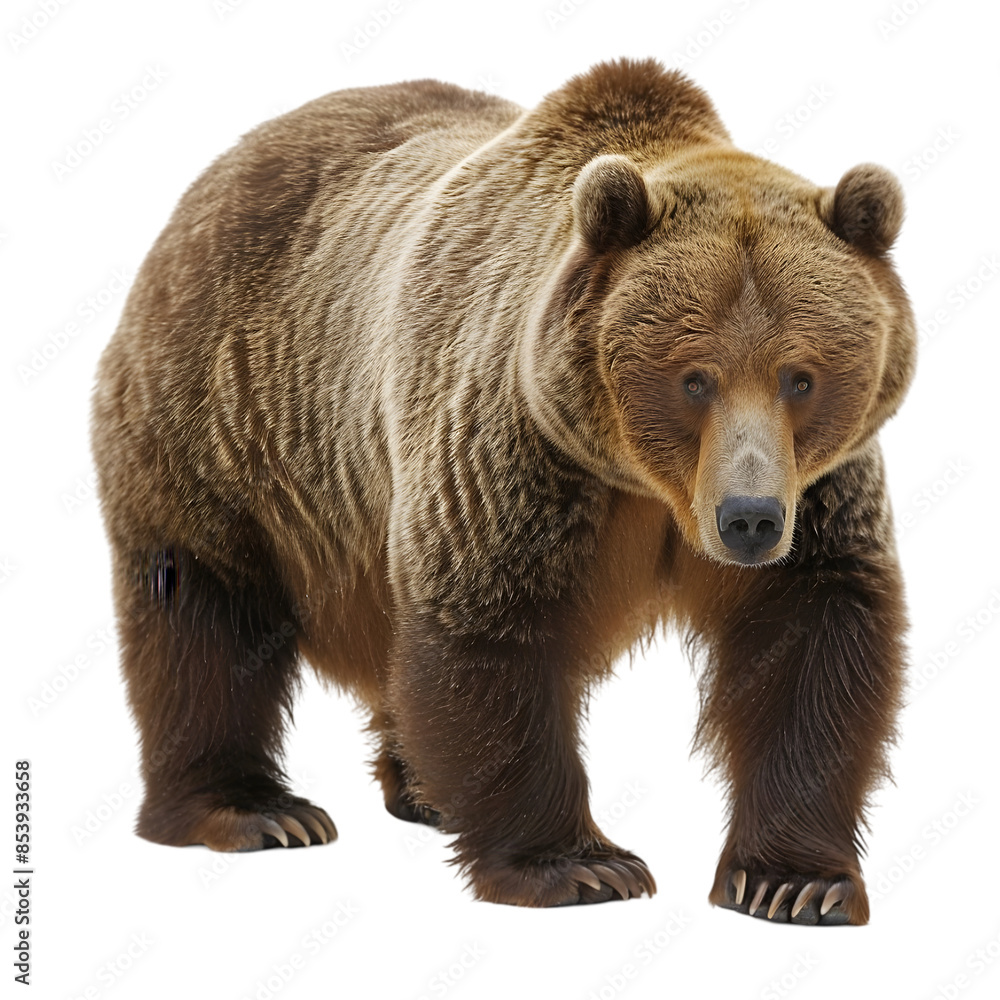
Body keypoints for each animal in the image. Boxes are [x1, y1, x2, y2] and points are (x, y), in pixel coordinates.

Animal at [91, 57, 915, 923]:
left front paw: (795, 881)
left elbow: (812, 641)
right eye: (695, 378)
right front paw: (580, 865)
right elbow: (488, 625)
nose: (747, 519)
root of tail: (212, 176)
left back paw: (417, 790)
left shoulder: (815, 495)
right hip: (228, 422)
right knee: (204, 612)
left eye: (800, 376)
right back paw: (253, 809)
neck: (643, 483)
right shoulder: (516, 448)